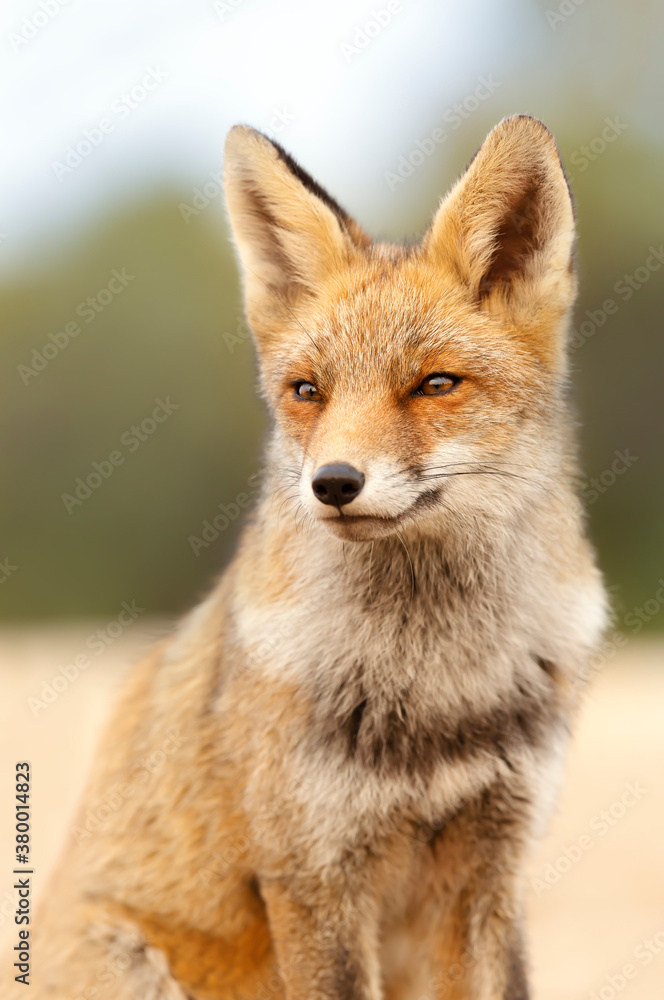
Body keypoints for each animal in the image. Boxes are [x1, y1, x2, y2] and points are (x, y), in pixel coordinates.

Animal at [15, 117, 608, 1000]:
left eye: (435, 384)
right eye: (307, 392)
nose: (333, 483)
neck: (433, 682)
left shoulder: (488, 871)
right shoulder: (313, 876)